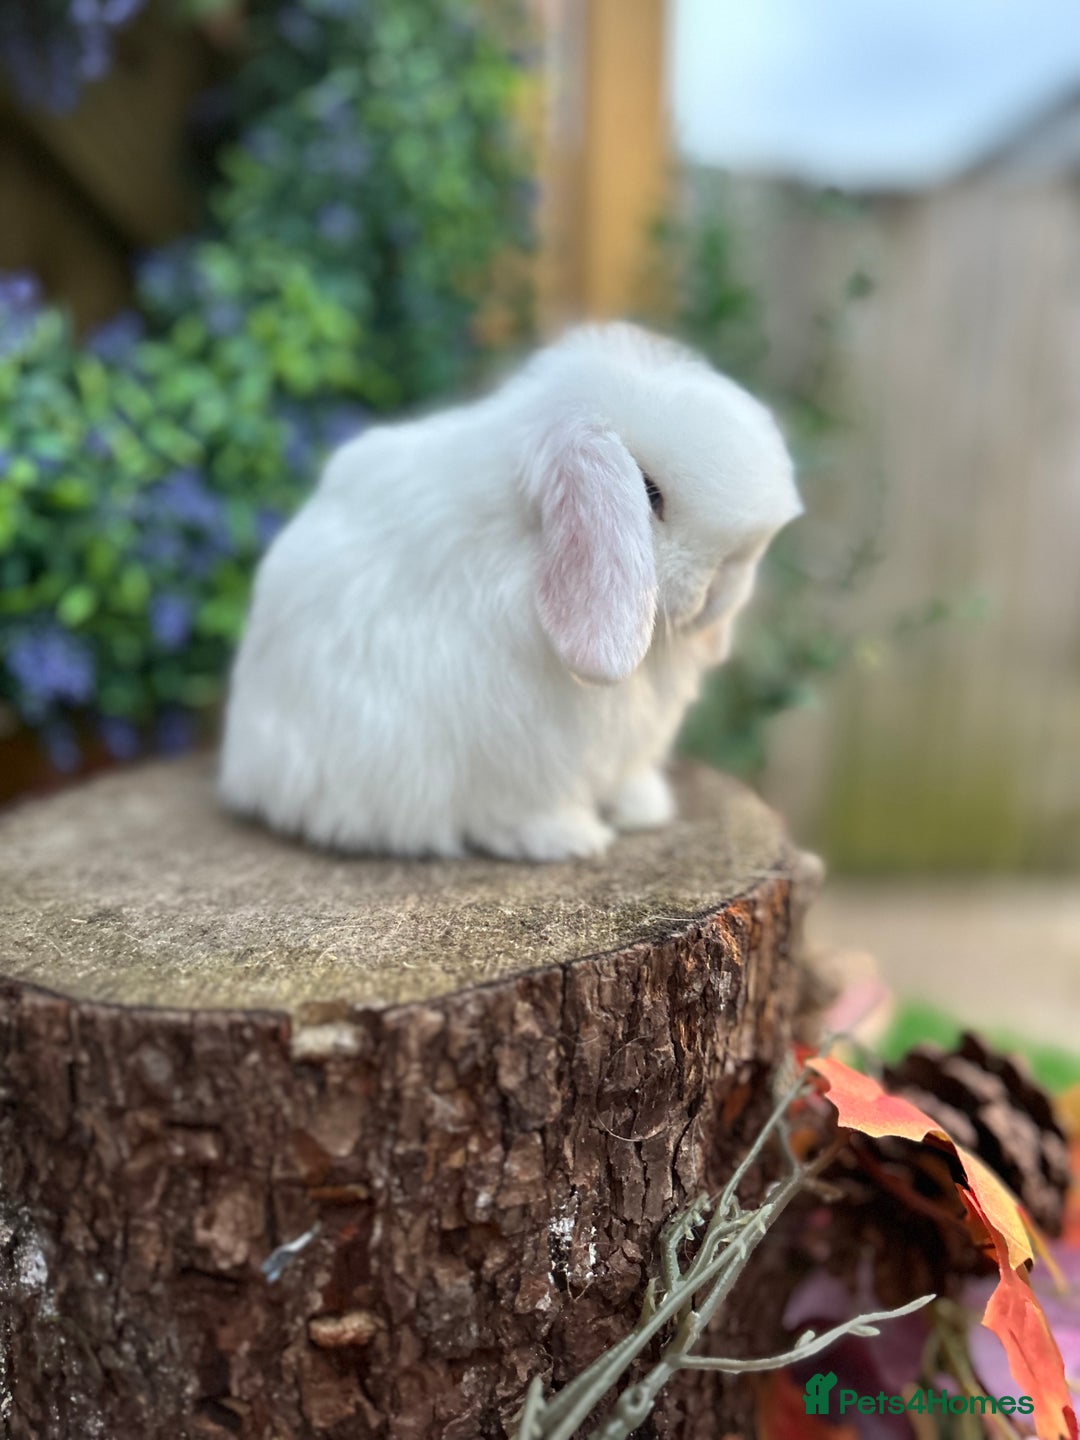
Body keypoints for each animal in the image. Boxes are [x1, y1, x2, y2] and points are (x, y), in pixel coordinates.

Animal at [219, 323, 802, 861]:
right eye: (649, 493)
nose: (728, 579)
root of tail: (241, 765)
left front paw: (646, 811)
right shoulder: (515, 756)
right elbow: (524, 810)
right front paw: (573, 840)